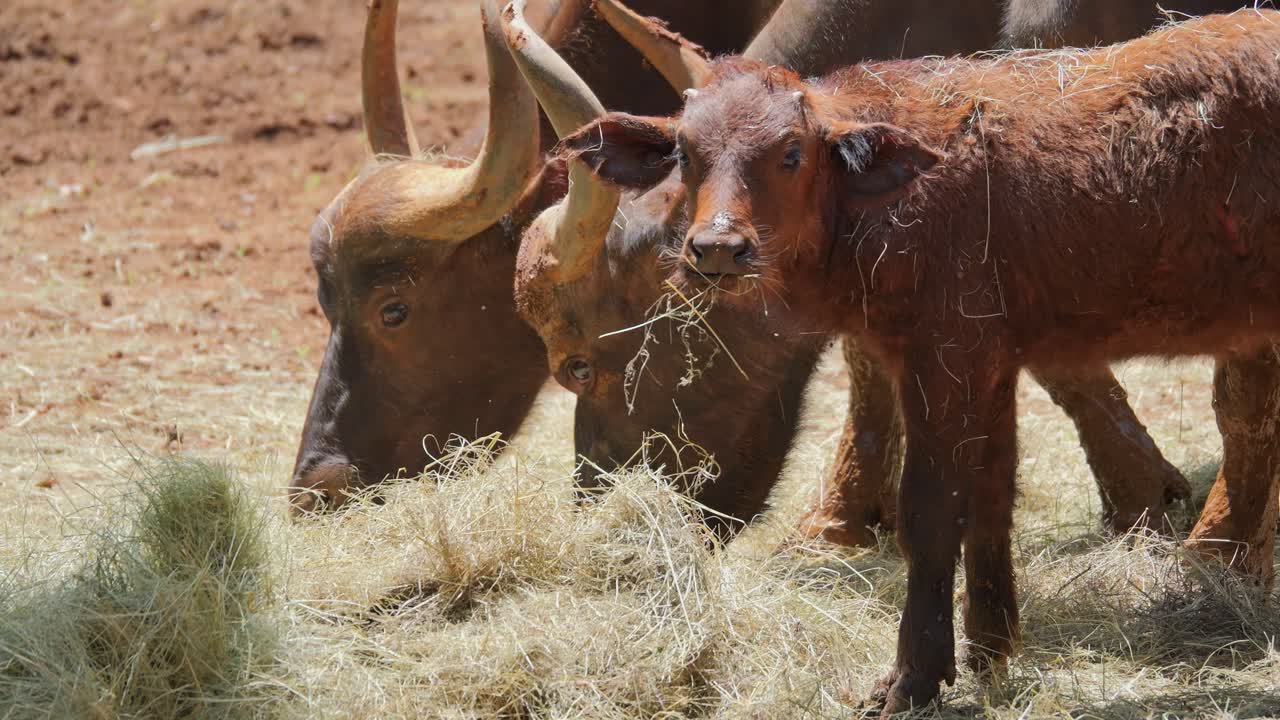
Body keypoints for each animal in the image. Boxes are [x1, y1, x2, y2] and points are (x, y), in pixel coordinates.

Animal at [561, 8, 1280, 713]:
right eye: (685, 153)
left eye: (791, 153)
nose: (716, 249)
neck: (886, 201)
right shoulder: (990, 363)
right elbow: (991, 496)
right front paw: (989, 652)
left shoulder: (943, 359)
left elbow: (931, 513)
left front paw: (911, 680)